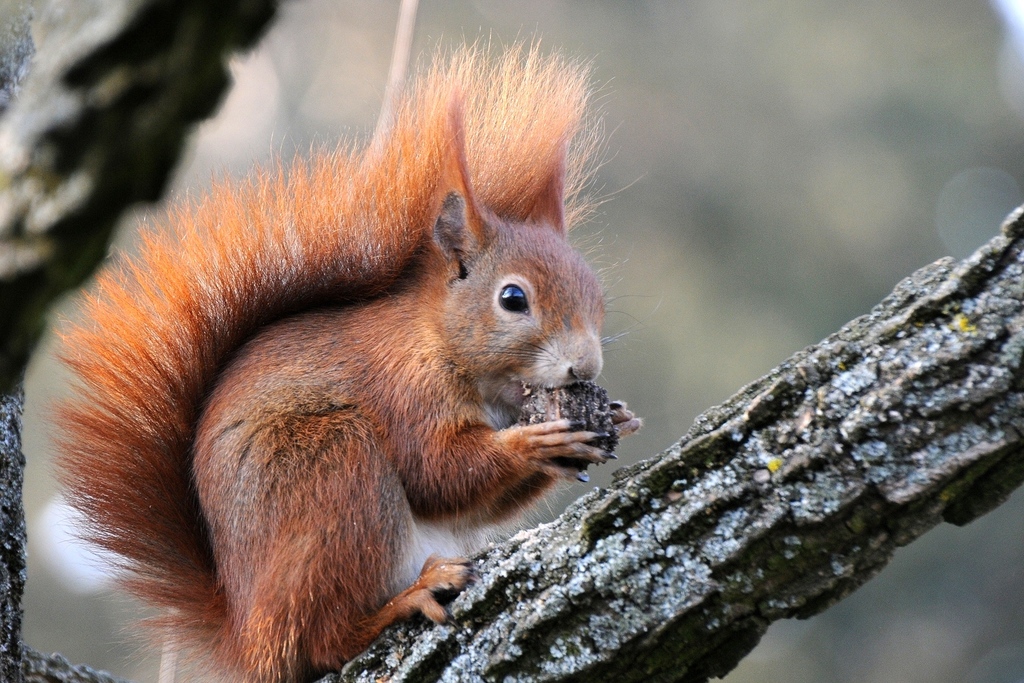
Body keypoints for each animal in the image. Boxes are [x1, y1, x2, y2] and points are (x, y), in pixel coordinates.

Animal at [54, 45, 638, 679]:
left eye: (597, 294)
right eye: (513, 299)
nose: (584, 368)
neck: (439, 343)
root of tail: (248, 635)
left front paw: (616, 420)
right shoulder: (402, 389)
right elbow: (439, 473)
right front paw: (535, 443)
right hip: (334, 471)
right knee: (323, 640)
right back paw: (405, 600)